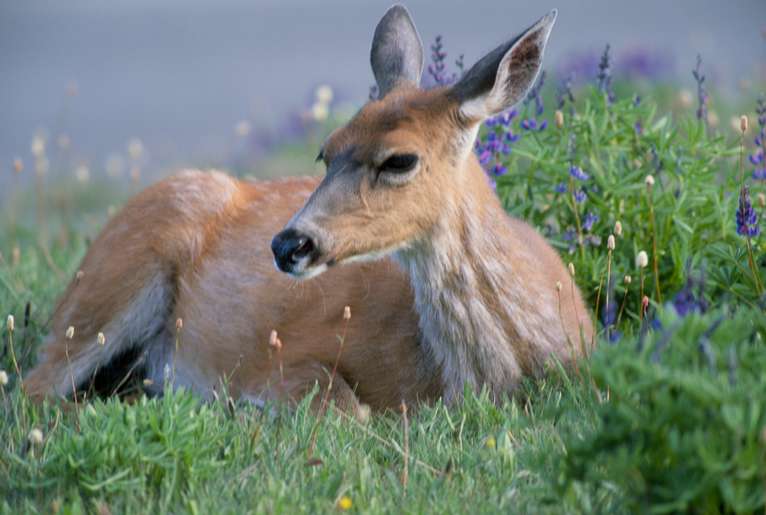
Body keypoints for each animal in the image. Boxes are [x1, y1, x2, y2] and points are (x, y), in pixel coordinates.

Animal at [25, 6, 592, 422]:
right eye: (326, 150)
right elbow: (347, 409)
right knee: (35, 389)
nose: (288, 243)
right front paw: (242, 407)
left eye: (400, 159)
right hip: (108, 285)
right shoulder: (284, 355)